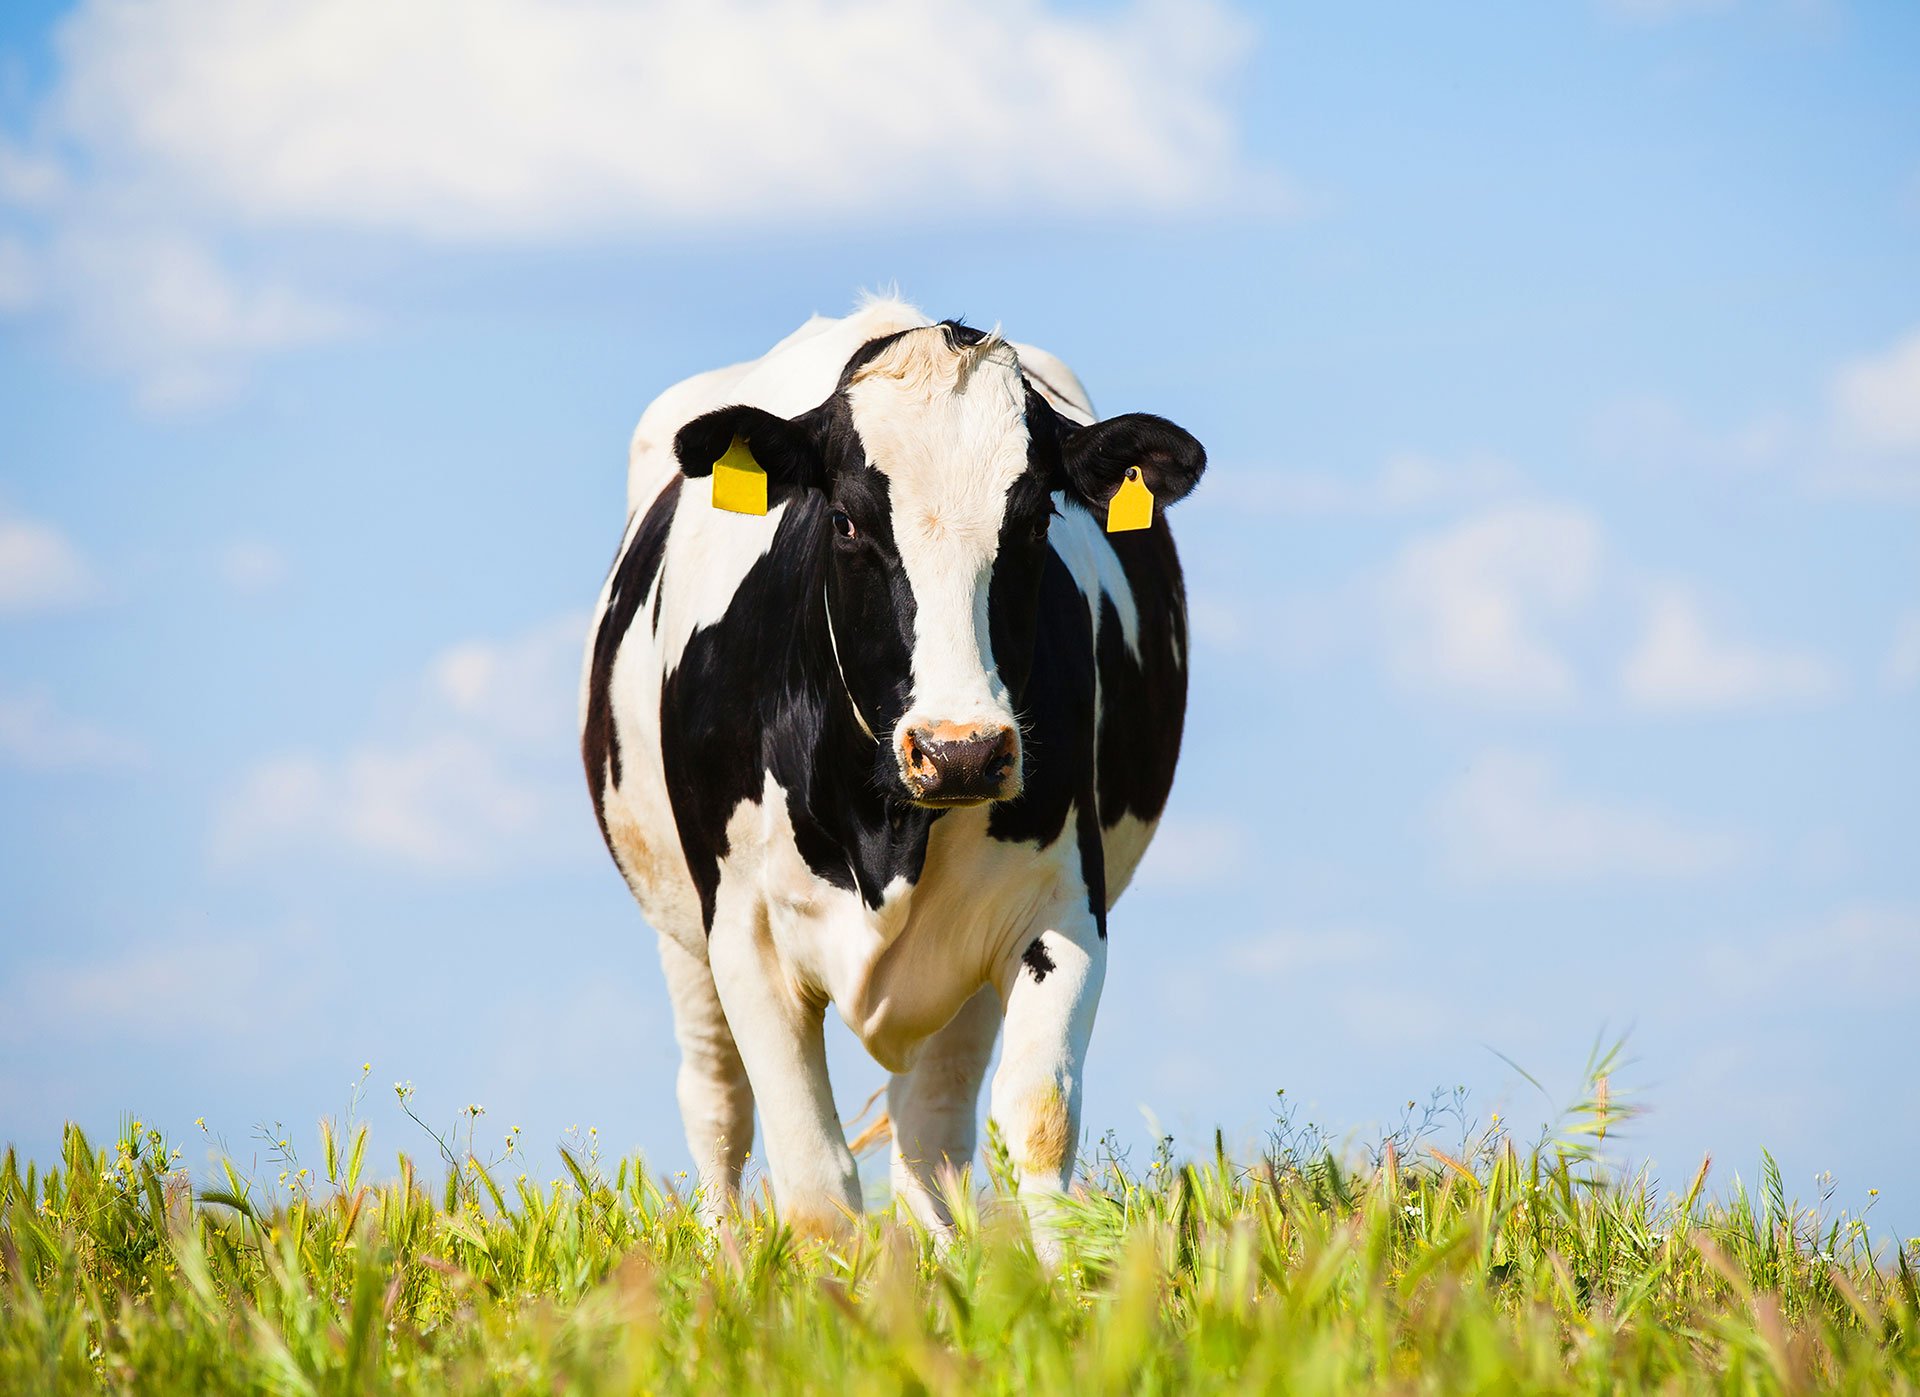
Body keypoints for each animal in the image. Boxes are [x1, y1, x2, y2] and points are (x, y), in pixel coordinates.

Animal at [580, 297, 1205, 1242]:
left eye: (1035, 521)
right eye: (845, 520)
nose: (961, 749)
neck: (888, 828)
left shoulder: (1061, 904)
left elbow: (1038, 1116)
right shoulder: (745, 930)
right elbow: (814, 1185)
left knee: (929, 1127)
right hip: (680, 930)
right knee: (718, 1105)